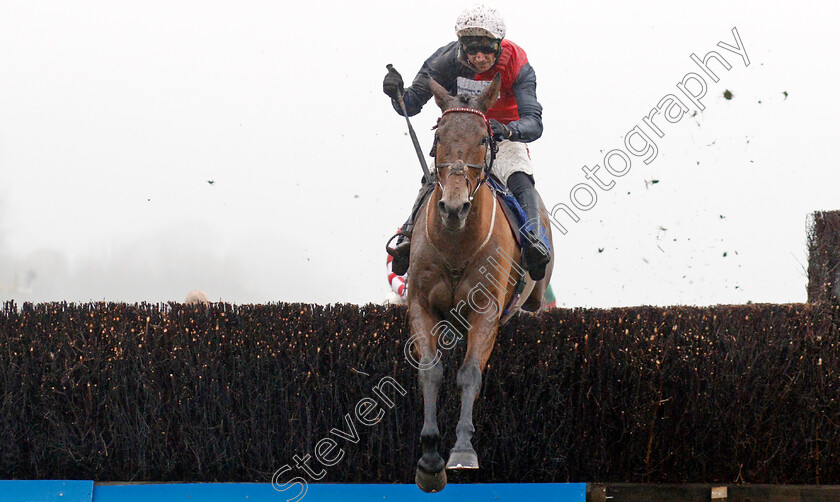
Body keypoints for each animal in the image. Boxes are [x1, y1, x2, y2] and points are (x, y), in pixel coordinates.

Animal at [406, 73, 556, 490]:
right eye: (439, 136)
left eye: (484, 139)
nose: (454, 207)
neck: (456, 244)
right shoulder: (421, 305)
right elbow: (431, 371)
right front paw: (429, 459)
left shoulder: (486, 310)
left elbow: (470, 373)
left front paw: (461, 450)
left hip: (535, 293)